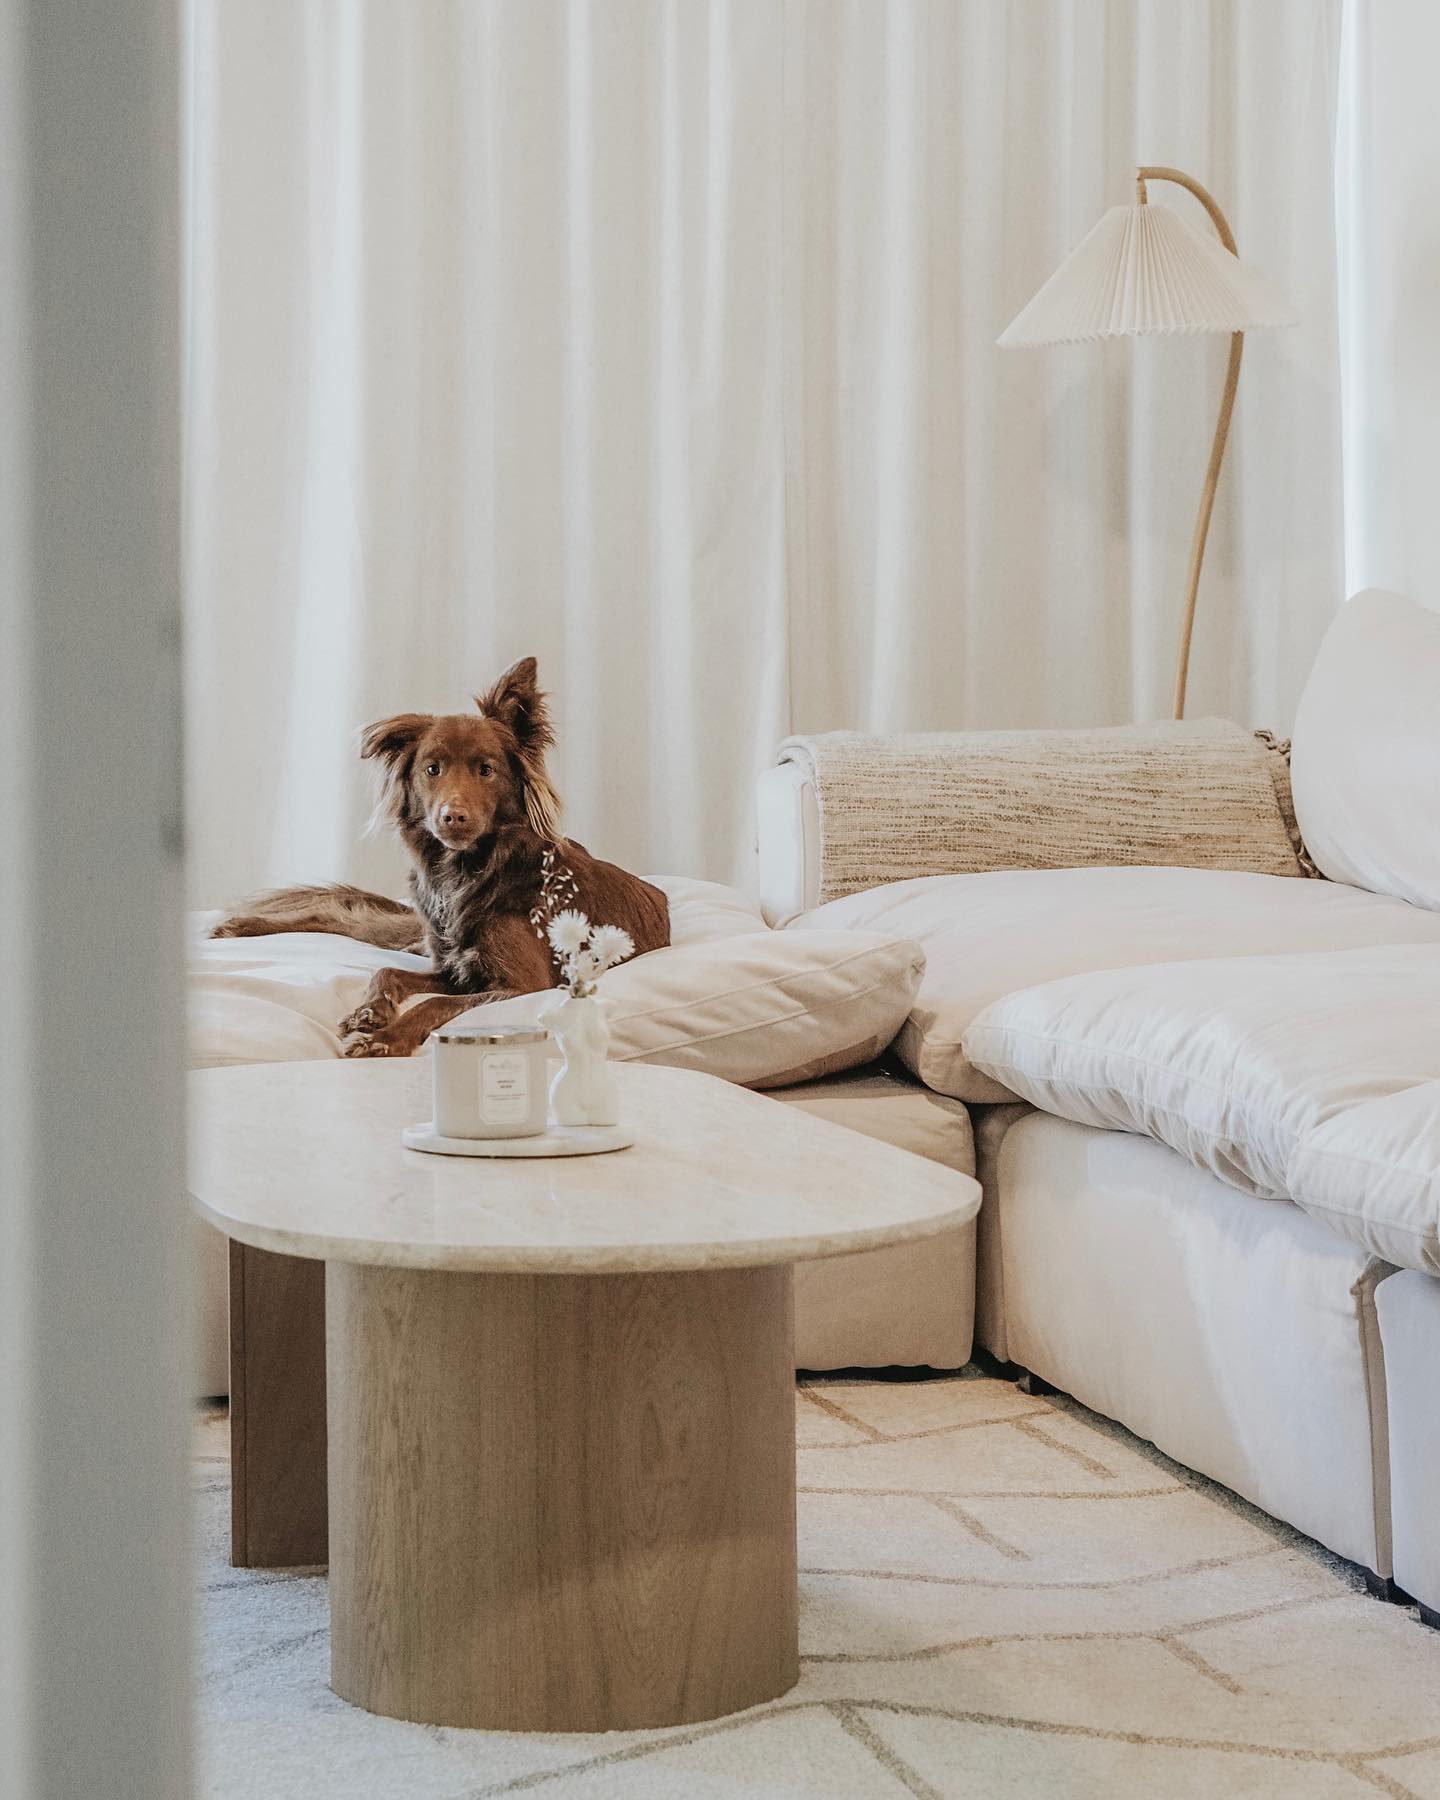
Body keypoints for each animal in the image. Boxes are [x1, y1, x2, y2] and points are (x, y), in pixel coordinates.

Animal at [210, 658, 673, 1051]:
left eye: (486, 769)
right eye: (432, 769)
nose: (453, 817)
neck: (467, 873)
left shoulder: (517, 986)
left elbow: (435, 1003)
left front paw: (385, 1037)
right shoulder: (449, 964)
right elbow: (385, 971)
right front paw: (369, 1012)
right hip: (424, 936)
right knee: (344, 917)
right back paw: (237, 926)